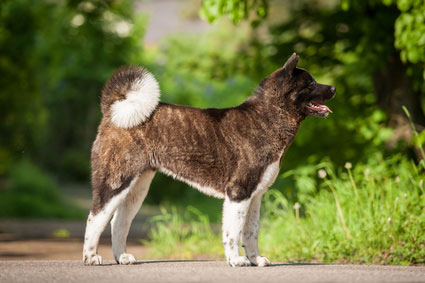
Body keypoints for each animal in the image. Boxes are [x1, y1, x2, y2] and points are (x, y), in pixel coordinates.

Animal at [82, 53, 334, 268]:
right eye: (311, 84)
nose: (332, 88)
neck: (266, 119)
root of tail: (114, 110)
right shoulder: (238, 193)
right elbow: (233, 232)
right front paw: (236, 260)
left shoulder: (255, 196)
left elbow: (251, 232)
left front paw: (255, 259)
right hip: (115, 181)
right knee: (95, 218)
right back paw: (91, 257)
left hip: (137, 188)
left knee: (118, 222)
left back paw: (122, 257)